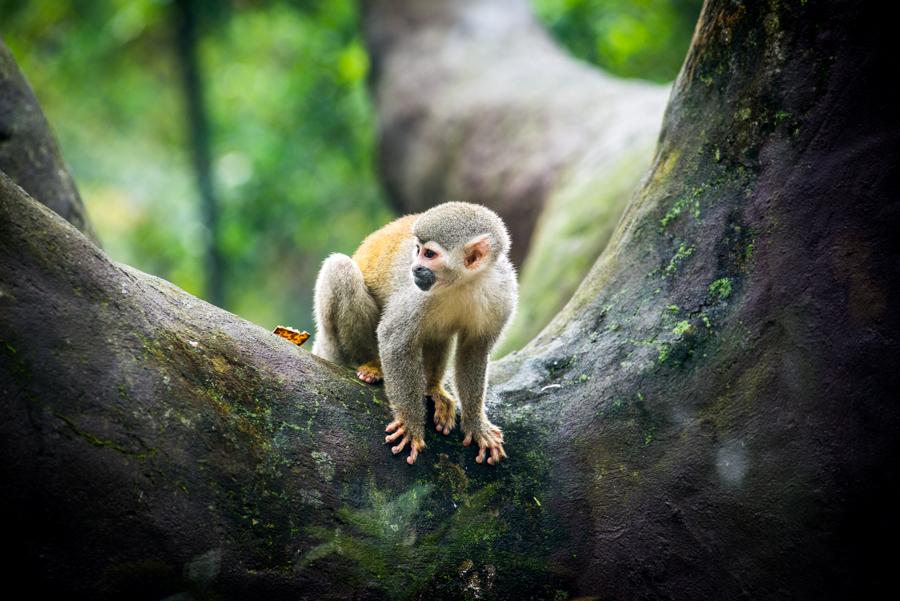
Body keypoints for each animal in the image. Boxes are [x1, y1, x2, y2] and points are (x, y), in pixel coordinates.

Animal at [312, 202, 516, 464]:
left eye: (429, 254)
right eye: (417, 250)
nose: (415, 268)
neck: (464, 283)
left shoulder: (502, 293)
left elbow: (474, 353)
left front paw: (476, 425)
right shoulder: (416, 290)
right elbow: (394, 339)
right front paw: (410, 424)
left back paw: (433, 388)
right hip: (333, 341)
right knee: (341, 268)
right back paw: (372, 365)